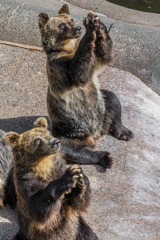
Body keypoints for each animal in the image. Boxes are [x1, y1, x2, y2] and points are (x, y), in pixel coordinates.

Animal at [38, 3, 133, 169]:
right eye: (62, 25)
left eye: (71, 19)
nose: (77, 28)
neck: (68, 48)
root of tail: (96, 133)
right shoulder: (59, 66)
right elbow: (79, 72)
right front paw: (89, 31)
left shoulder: (94, 61)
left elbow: (105, 55)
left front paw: (97, 23)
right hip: (69, 131)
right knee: (75, 150)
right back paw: (105, 157)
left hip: (101, 107)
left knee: (112, 100)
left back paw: (124, 132)